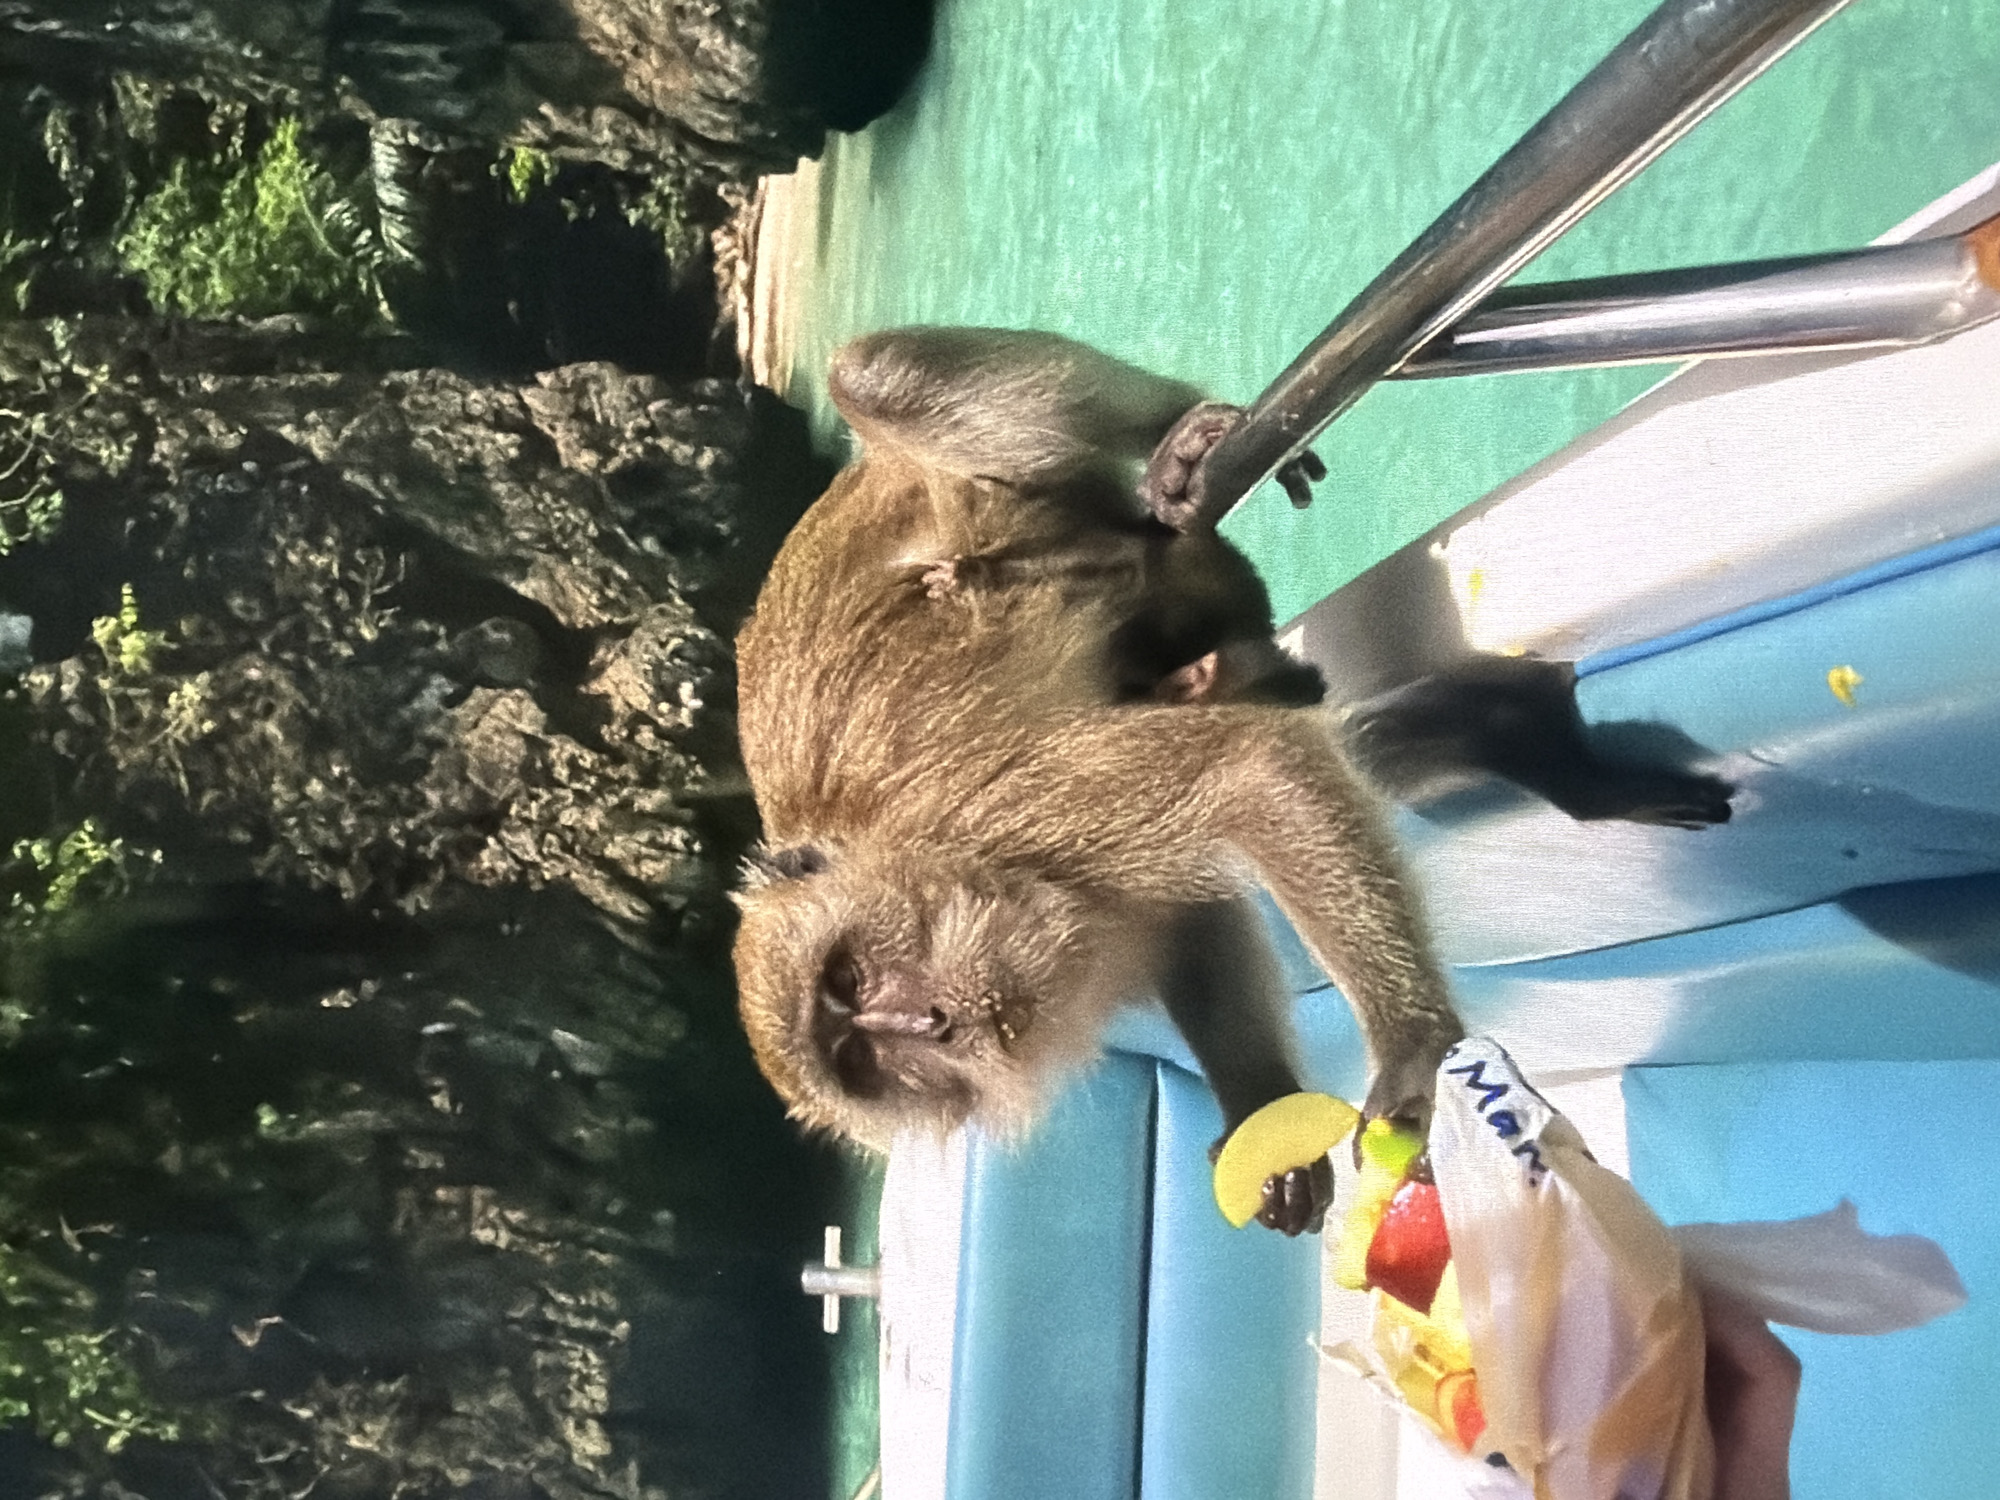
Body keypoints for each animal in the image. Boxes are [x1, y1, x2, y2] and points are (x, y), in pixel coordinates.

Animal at [731, 326, 1464, 1235]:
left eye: (850, 980)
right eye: (863, 1056)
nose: (933, 1022)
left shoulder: (1001, 807)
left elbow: (1247, 775)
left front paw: (1412, 1044)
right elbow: (1183, 919)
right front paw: (1261, 1105)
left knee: (874, 377)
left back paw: (1172, 457)